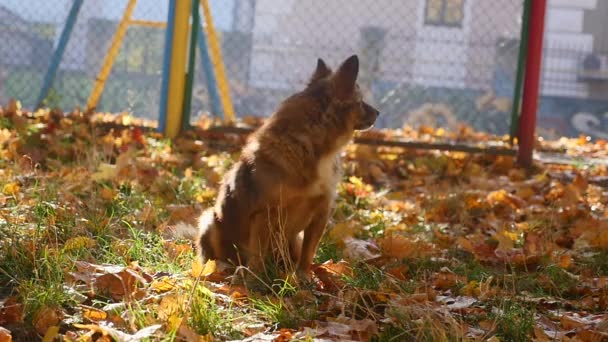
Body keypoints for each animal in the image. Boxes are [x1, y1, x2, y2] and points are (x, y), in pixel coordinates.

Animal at [197, 54, 378, 278]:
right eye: (361, 102)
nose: (378, 112)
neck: (315, 150)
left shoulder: (320, 214)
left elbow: (308, 252)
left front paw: (303, 277)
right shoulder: (265, 215)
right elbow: (257, 254)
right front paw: (256, 279)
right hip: (210, 222)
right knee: (221, 258)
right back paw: (227, 270)